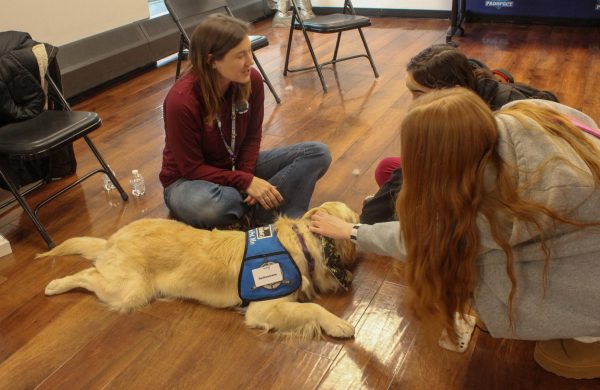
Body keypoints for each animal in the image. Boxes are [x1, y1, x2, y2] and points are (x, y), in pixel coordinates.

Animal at [39, 201, 358, 338]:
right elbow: (313, 309)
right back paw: (54, 285)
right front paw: (338, 324)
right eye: (354, 218)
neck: (300, 244)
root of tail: (112, 239)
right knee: (87, 274)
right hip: (129, 290)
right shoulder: (264, 307)